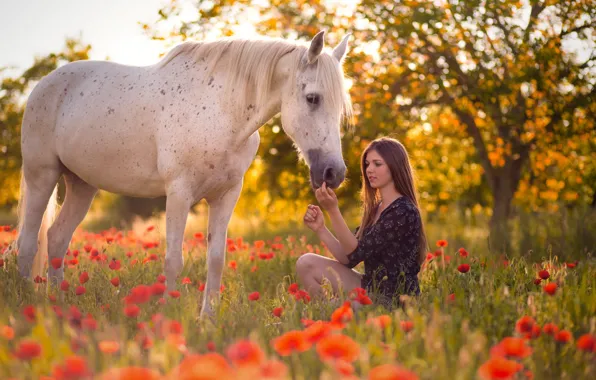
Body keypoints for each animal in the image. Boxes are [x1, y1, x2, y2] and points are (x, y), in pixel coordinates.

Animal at [14, 31, 352, 318]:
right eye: (312, 98)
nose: (334, 173)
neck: (221, 111)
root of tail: (44, 85)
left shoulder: (226, 195)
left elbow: (215, 259)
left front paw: (208, 319)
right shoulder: (179, 193)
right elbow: (173, 259)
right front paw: (169, 315)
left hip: (82, 185)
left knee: (56, 238)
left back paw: (59, 303)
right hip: (42, 176)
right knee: (28, 243)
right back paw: (27, 303)